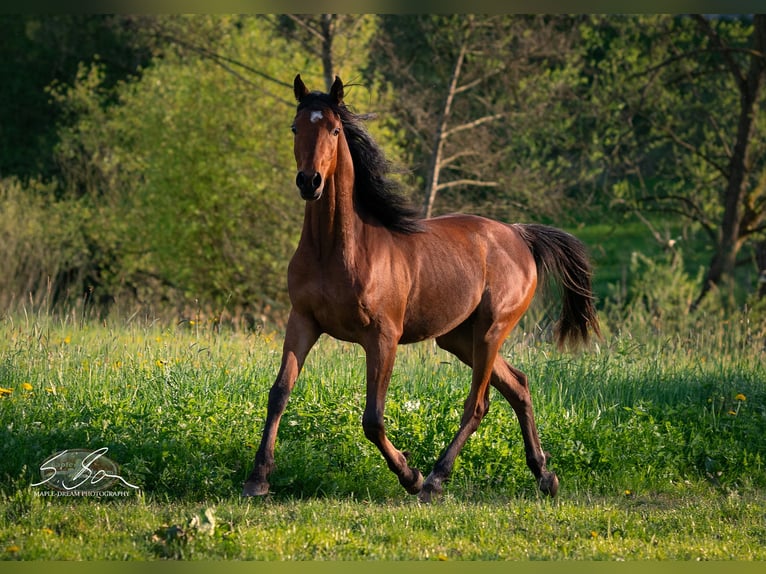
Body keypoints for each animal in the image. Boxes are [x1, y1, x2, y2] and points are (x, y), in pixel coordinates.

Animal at [243, 75, 600, 502]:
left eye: (333, 129)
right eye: (296, 128)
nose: (309, 182)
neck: (339, 250)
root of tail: (518, 234)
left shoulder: (383, 336)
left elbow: (373, 417)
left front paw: (409, 474)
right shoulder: (302, 321)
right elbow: (279, 393)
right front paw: (258, 478)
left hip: (491, 331)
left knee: (478, 404)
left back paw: (435, 479)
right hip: (459, 338)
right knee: (518, 386)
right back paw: (544, 475)